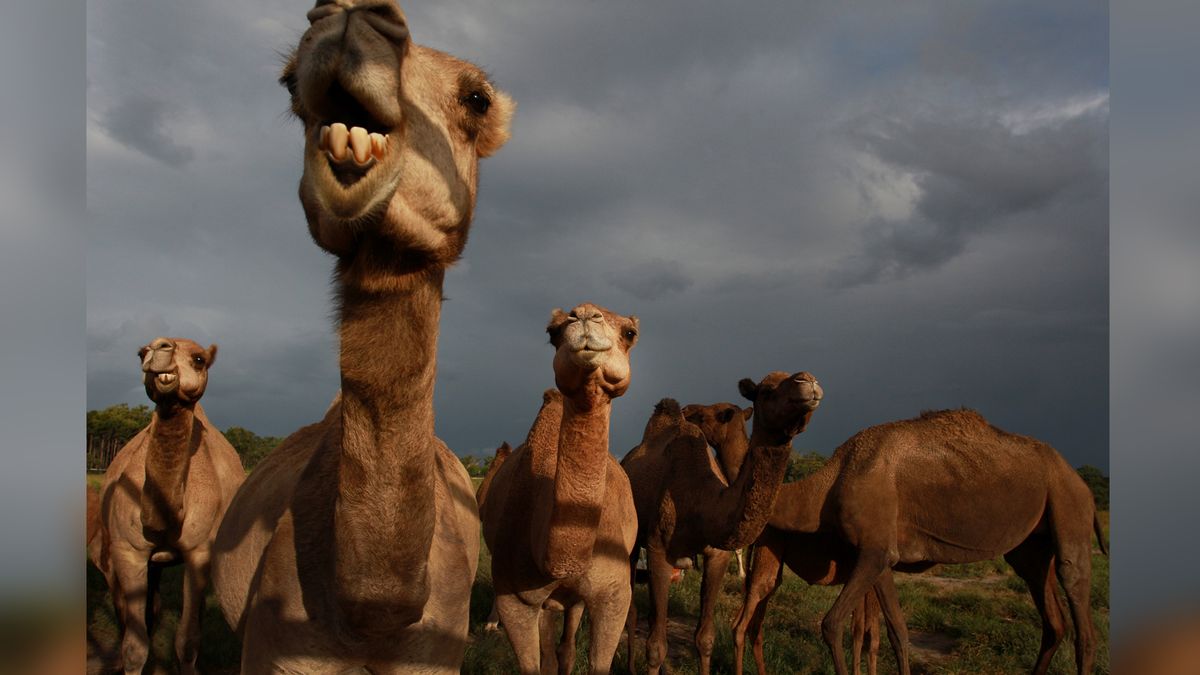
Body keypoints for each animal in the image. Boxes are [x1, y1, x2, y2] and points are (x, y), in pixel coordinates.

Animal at [87, 333, 244, 667]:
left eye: (199, 359)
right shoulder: (128, 551)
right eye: (140, 353)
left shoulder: (199, 552)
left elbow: (187, 641)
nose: (160, 348)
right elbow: (135, 644)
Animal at [480, 303, 643, 672]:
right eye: (552, 332)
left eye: (630, 333)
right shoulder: (517, 598)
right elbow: (534, 663)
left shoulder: (614, 594)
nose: (584, 315)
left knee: (566, 643)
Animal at [619, 369, 825, 672]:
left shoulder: (717, 555)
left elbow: (705, 637)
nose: (808, 381)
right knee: (631, 607)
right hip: (632, 539)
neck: (700, 500)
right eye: (767, 390)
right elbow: (656, 646)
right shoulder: (658, 549)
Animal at [763, 403, 1108, 672]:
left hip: (1068, 503)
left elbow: (831, 623)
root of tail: (1081, 483)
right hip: (1032, 543)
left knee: (1076, 595)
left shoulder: (875, 547)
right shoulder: (877, 550)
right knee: (1051, 615)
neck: (829, 482)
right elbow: (897, 631)